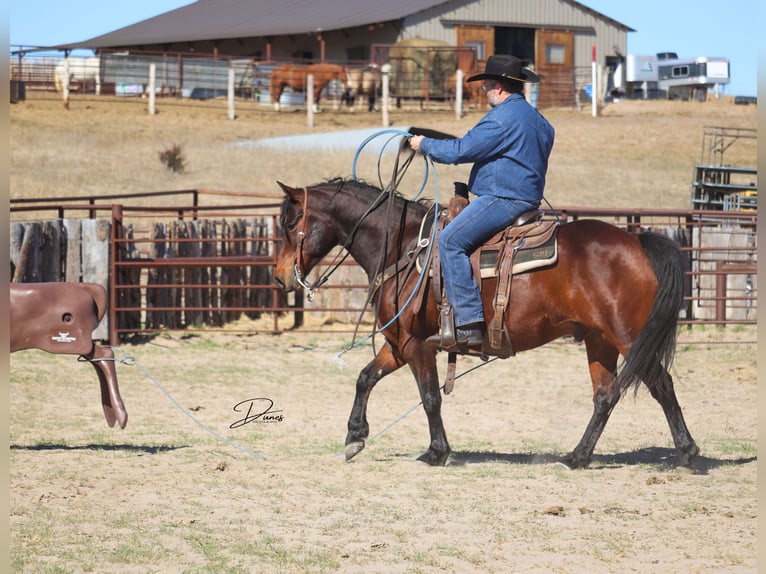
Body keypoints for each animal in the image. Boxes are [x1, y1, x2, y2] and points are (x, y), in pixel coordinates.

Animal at [274, 178, 699, 469]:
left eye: (290, 223)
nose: (280, 277)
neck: (405, 248)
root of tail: (637, 241)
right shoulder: (398, 343)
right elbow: (365, 378)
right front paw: (354, 436)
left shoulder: (417, 344)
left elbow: (429, 397)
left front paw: (436, 452)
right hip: (599, 341)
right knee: (605, 396)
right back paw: (577, 456)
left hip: (628, 337)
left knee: (661, 384)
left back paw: (688, 452)